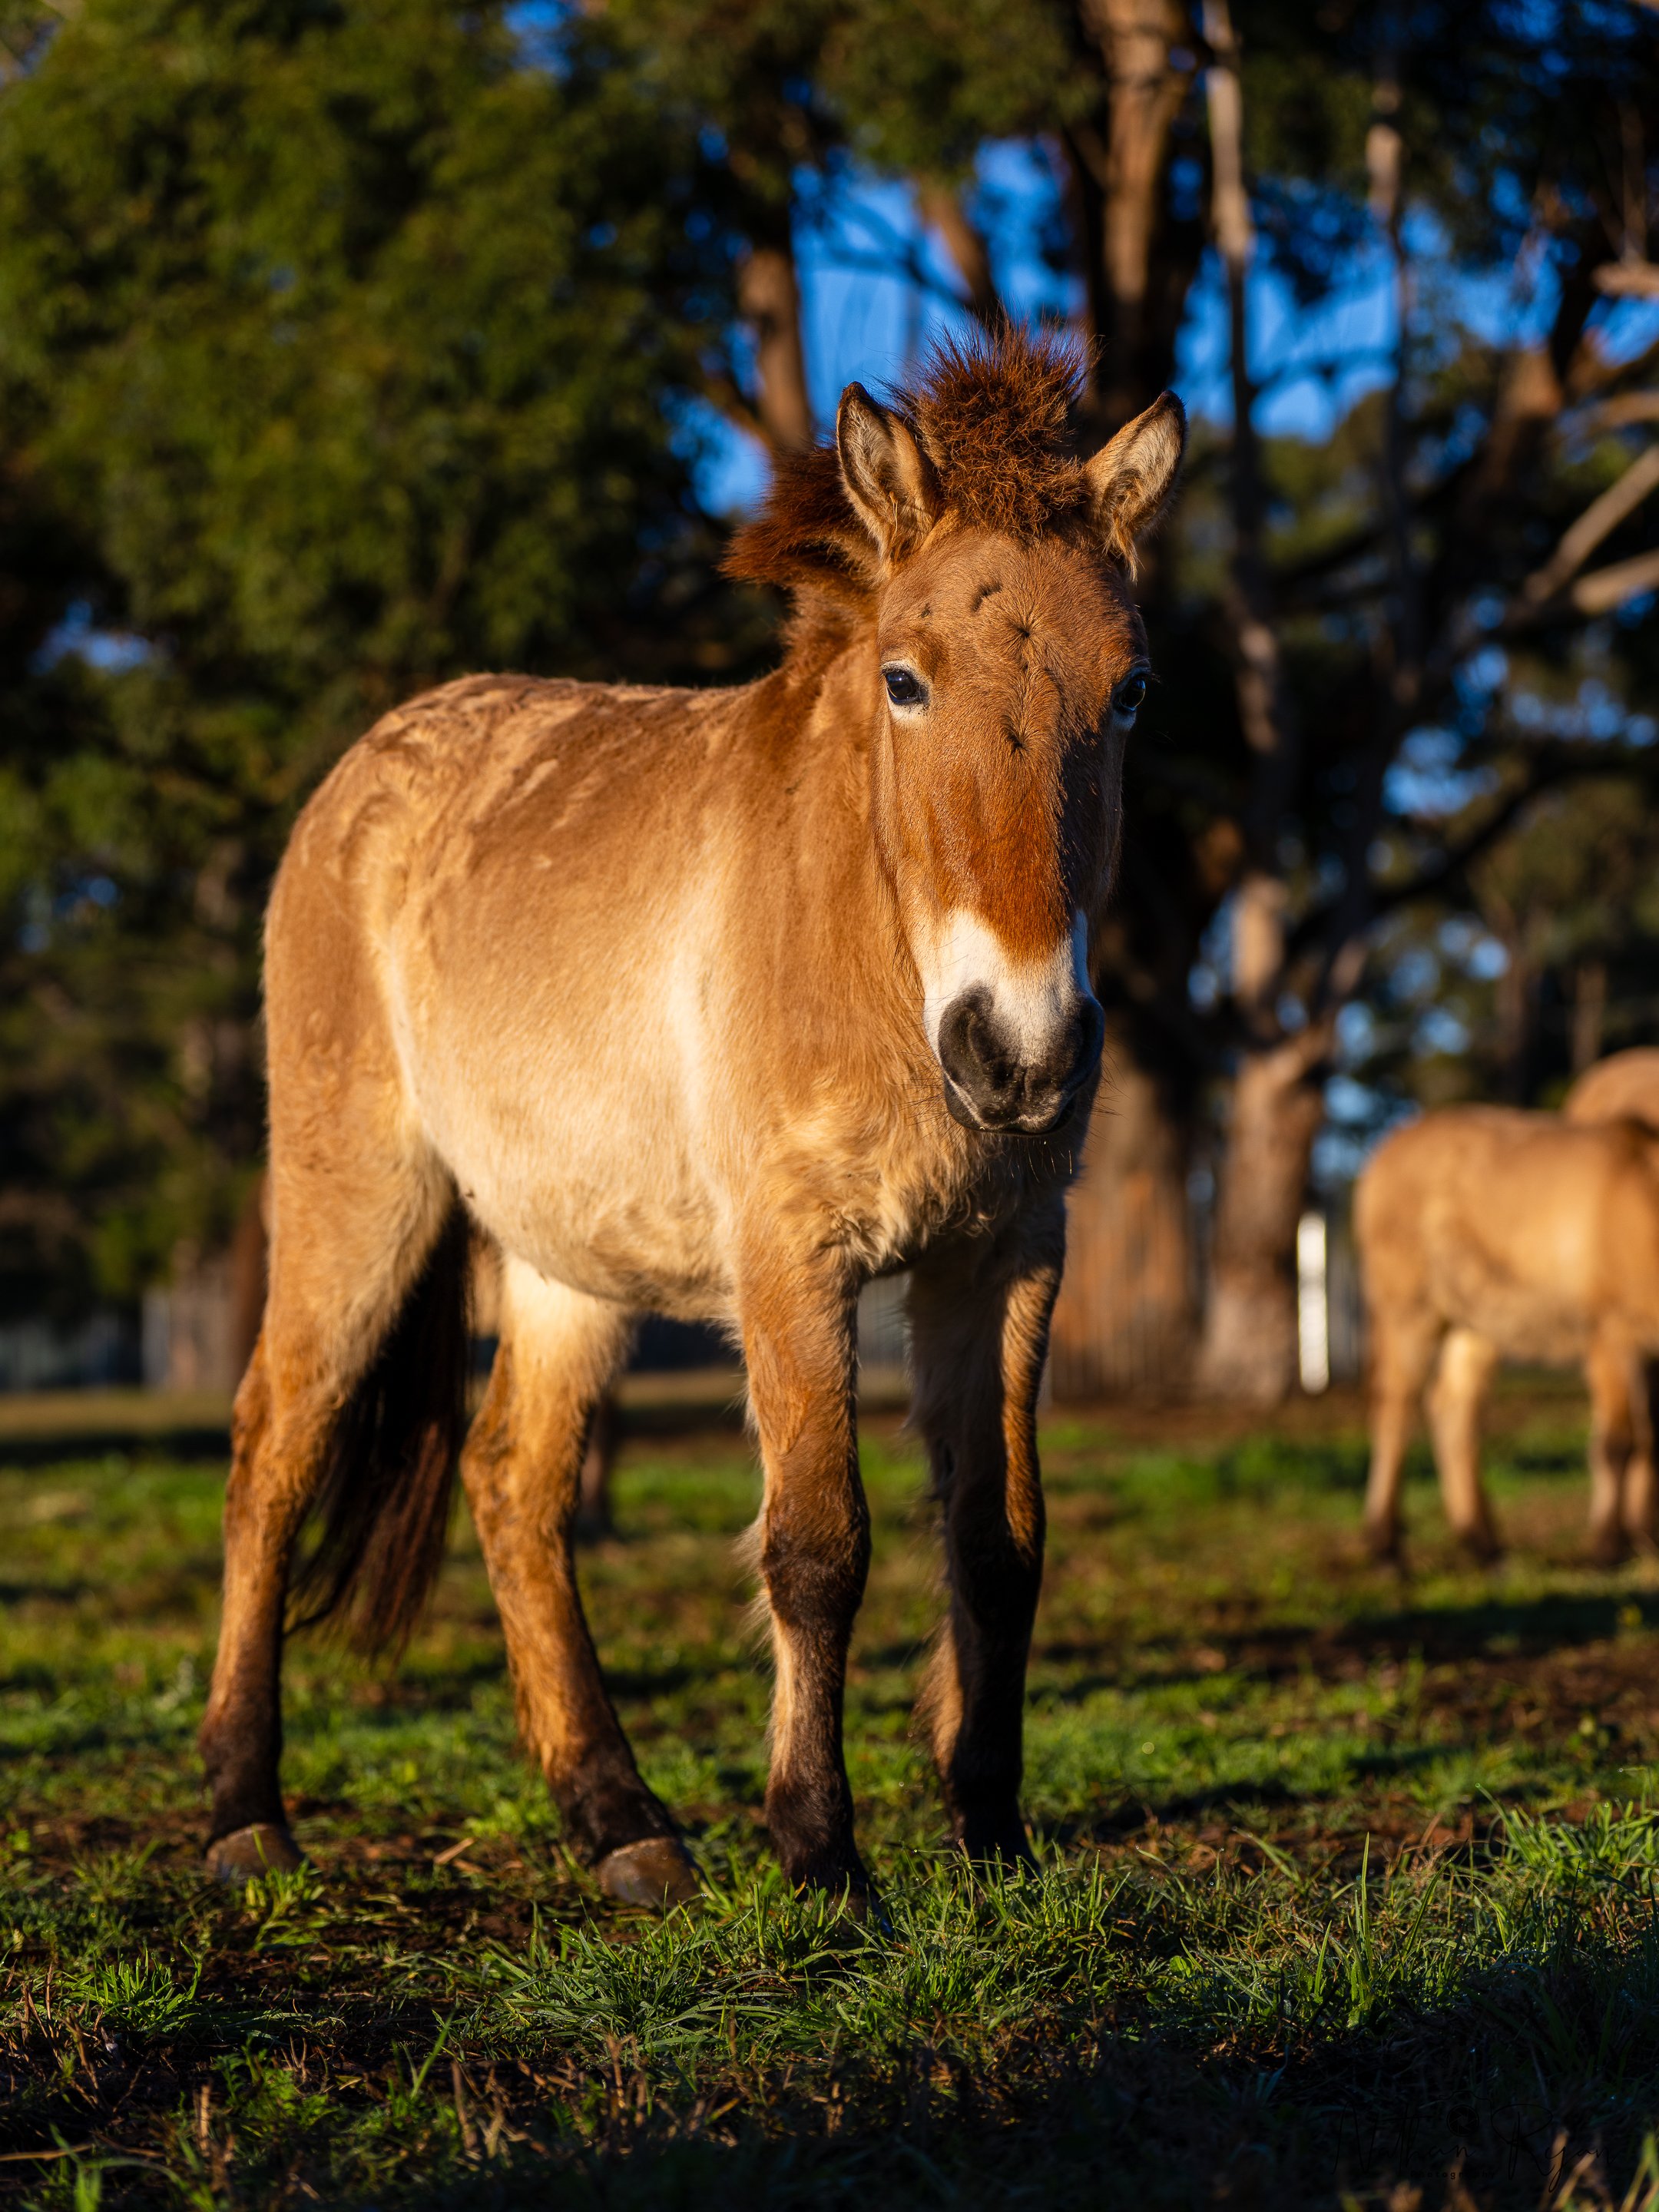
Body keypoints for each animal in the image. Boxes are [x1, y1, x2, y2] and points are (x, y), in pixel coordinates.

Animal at [198, 329, 1186, 1909]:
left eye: (1134, 688)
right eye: (905, 679)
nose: (1022, 1054)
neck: (865, 939)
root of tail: (363, 774)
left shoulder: (1006, 1257)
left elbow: (999, 1542)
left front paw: (992, 1834)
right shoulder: (792, 1259)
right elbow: (818, 1546)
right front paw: (822, 1854)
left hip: (565, 1262)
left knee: (513, 1486)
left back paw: (624, 1825)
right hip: (358, 1205)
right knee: (273, 1451)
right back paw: (245, 1813)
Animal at [1357, 1105, 1659, 1564]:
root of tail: (1385, 1151)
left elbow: (1650, 1436)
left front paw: (1644, 1537)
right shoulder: (1610, 1335)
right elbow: (1618, 1443)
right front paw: (1609, 1544)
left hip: (1475, 1323)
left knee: (1453, 1410)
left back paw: (1482, 1543)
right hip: (1409, 1310)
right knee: (1395, 1408)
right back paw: (1387, 1547)